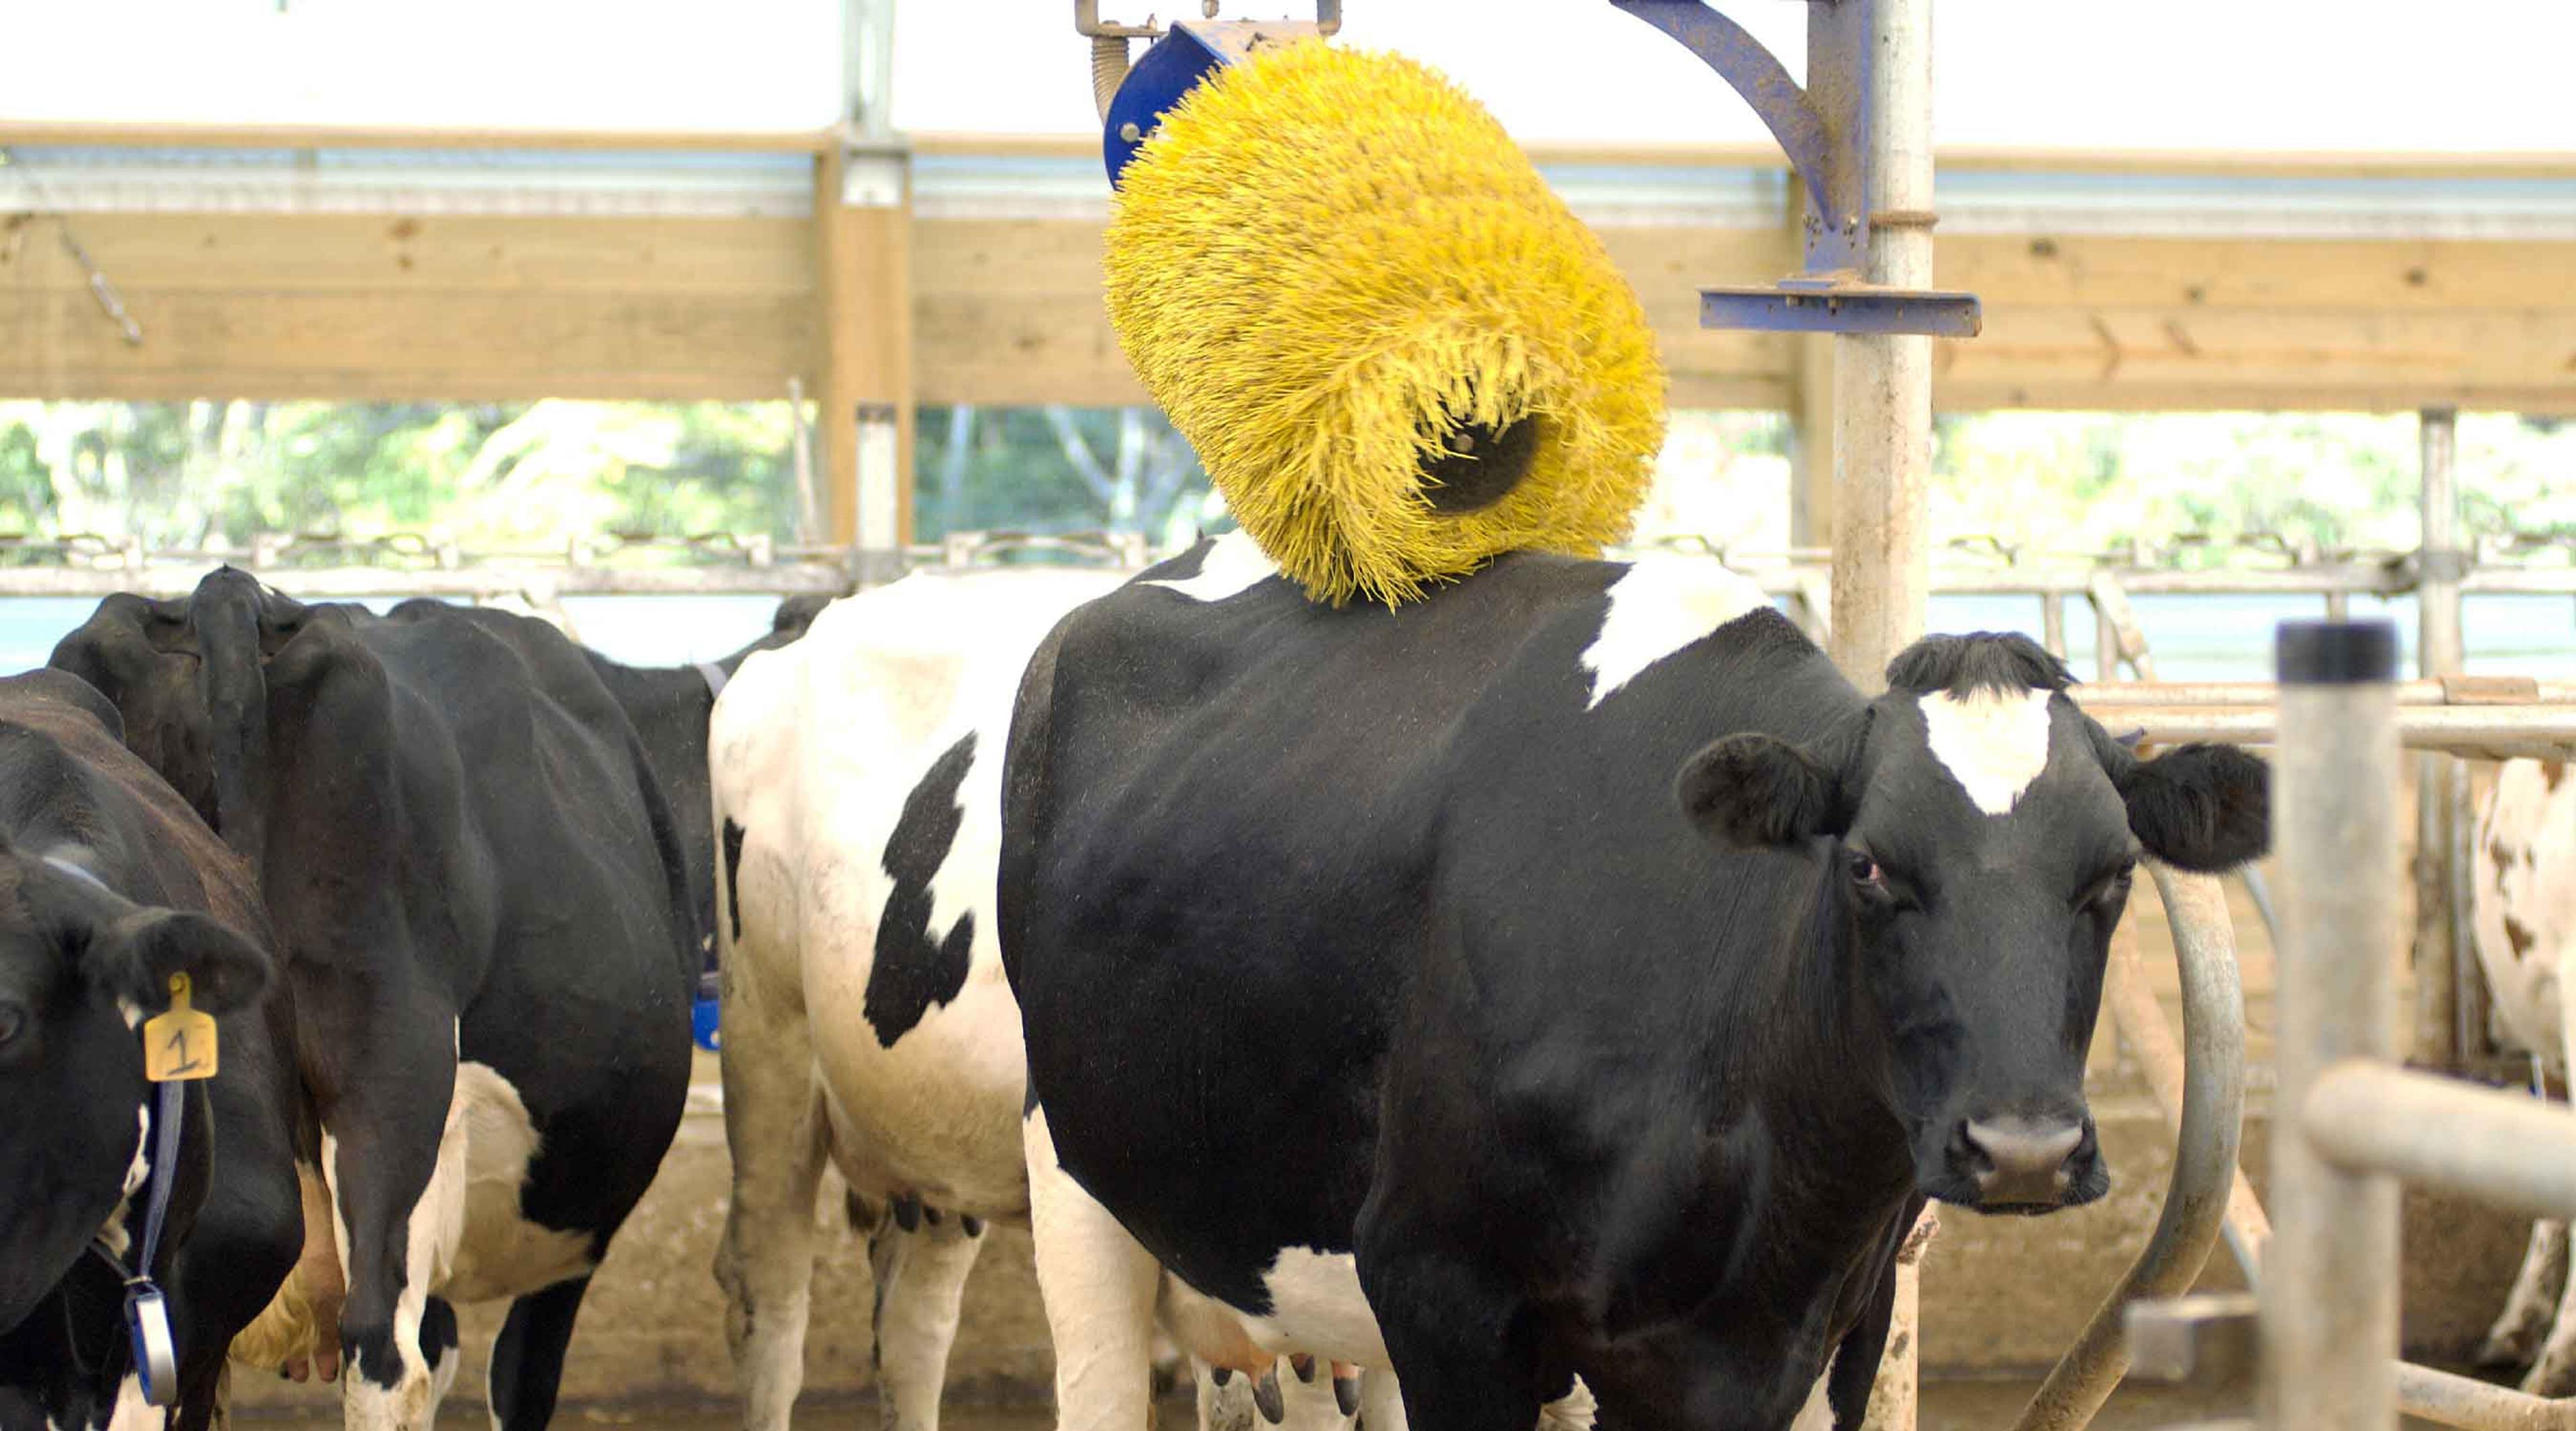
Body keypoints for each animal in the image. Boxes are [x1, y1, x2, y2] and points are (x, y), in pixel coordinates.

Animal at [994, 533, 2267, 1431]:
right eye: (1867, 863)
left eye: (2115, 872)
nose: (2025, 1152)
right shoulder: (1440, 1288)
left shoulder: (1836, 1330)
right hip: (1079, 1183)